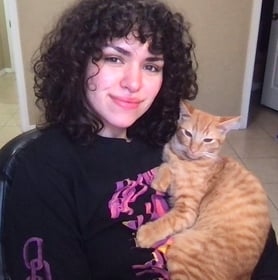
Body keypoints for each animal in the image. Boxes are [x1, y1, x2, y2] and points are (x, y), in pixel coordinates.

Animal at [136, 101, 270, 280]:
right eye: (188, 133)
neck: (185, 160)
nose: (193, 150)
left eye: (208, 140)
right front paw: (160, 181)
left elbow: (168, 221)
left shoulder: (187, 211)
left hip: (182, 251)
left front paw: (146, 234)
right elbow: (166, 165)